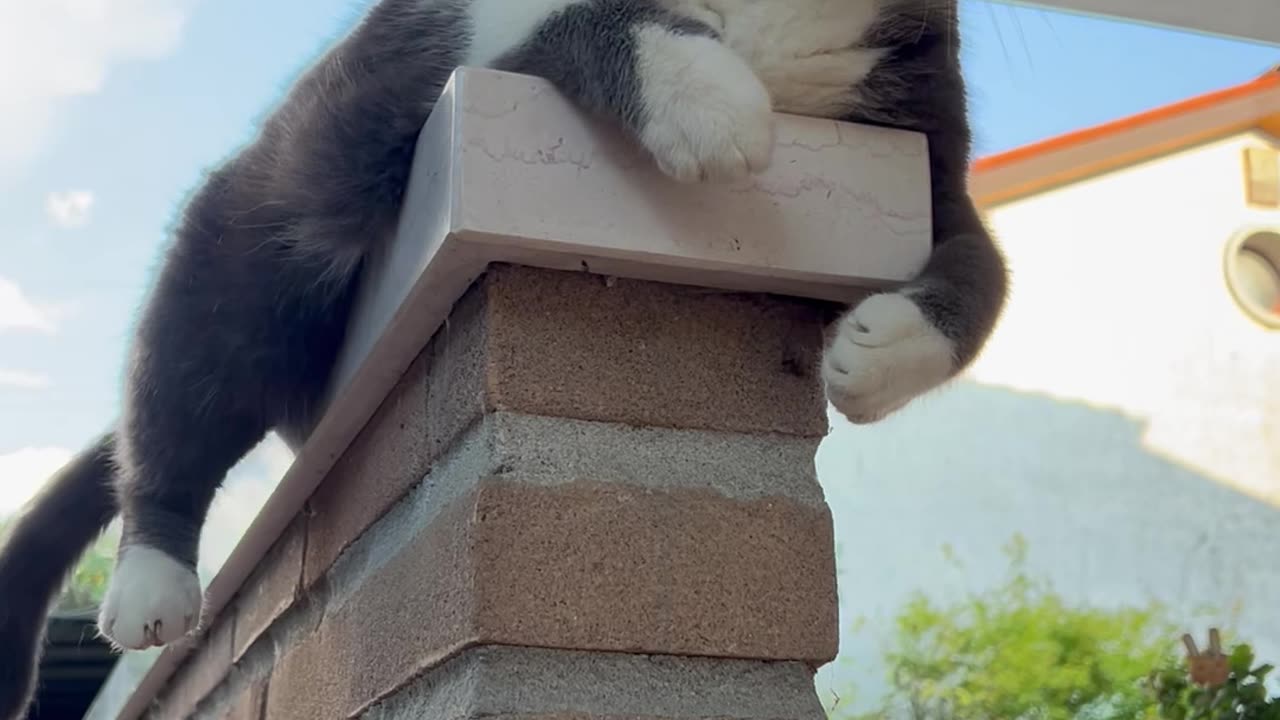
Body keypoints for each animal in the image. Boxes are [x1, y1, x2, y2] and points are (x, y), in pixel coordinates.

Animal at [0, 0, 1003, 712]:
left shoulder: (915, 157)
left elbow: (987, 274)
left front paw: (881, 352)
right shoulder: (496, 54)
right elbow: (591, 20)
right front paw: (707, 93)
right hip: (251, 231)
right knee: (177, 380)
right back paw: (151, 576)